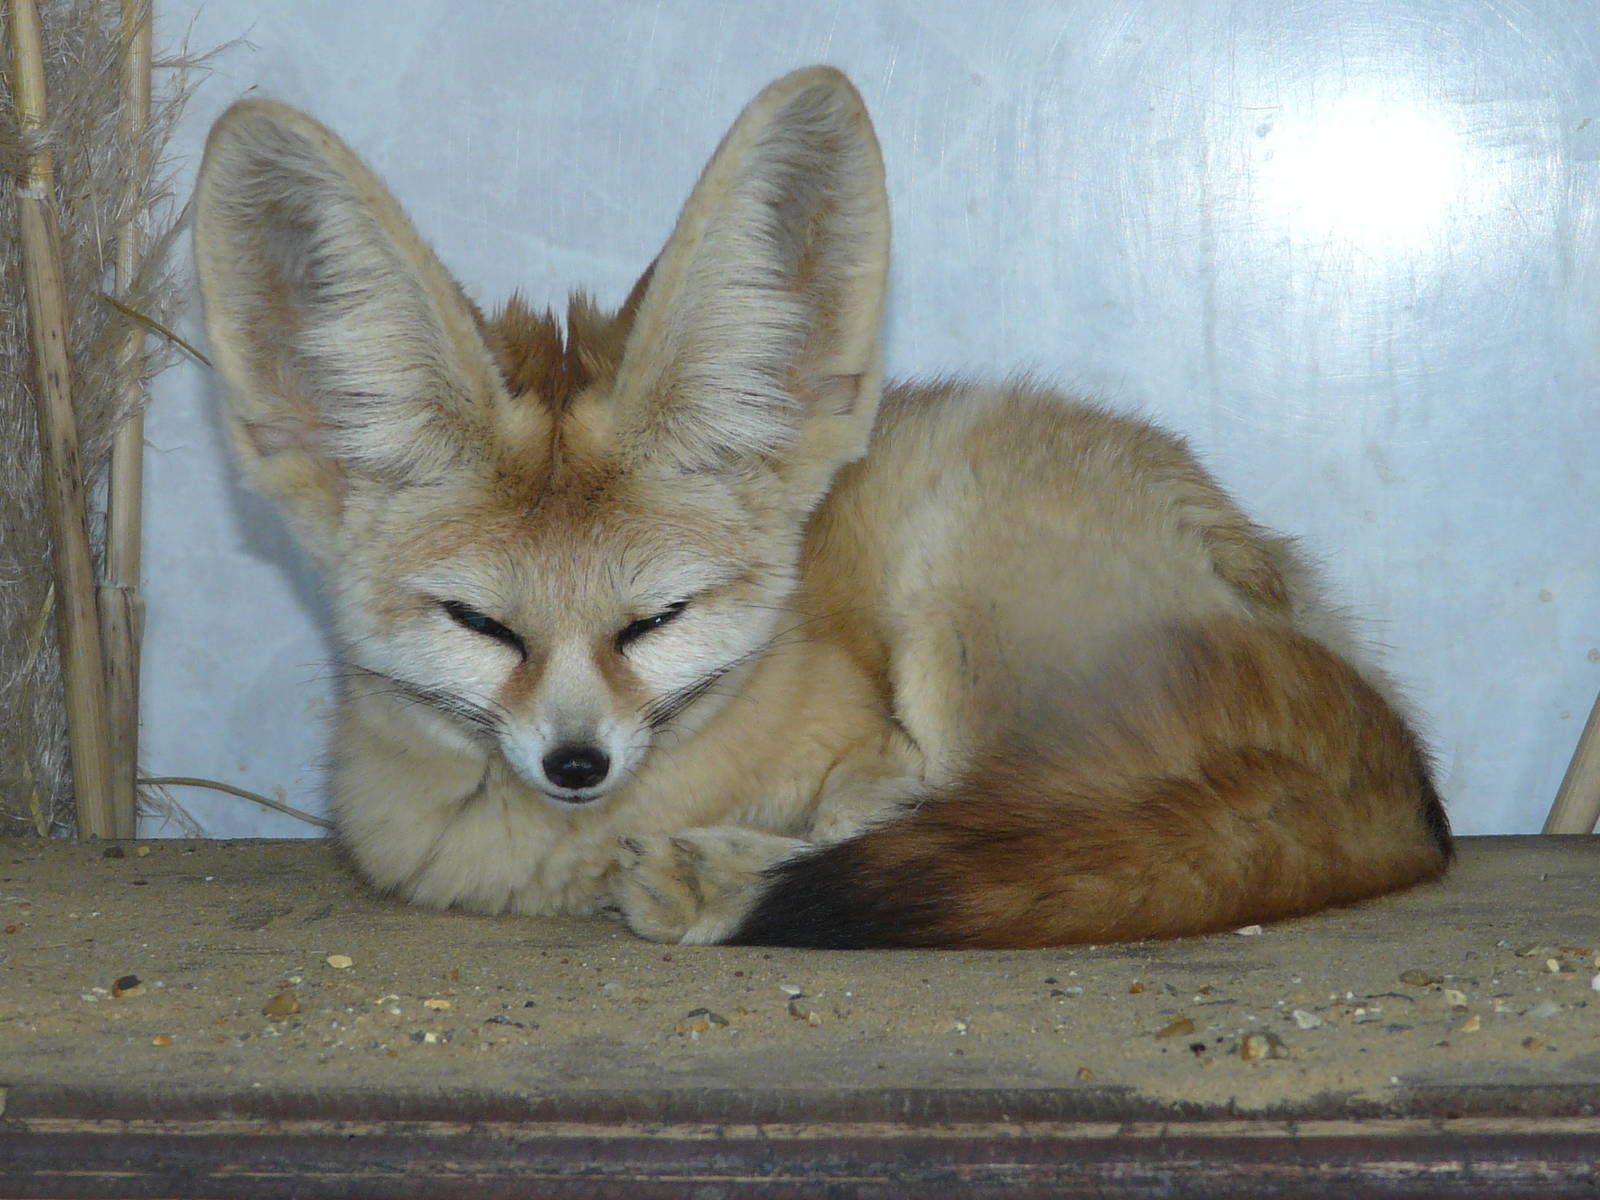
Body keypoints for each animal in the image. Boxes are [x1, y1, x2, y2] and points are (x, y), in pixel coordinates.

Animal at [191, 66, 1451, 949]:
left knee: (1025, 814)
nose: (576, 764)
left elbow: (872, 806)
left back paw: (718, 877)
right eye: (480, 624)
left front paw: (744, 853)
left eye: (655, 621)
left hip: (958, 582)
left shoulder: (881, 739)